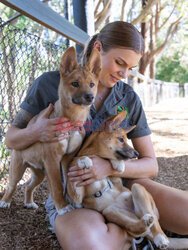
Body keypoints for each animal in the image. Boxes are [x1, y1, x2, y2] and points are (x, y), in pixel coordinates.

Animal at [0, 47, 101, 215]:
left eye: (92, 84)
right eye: (75, 83)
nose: (90, 97)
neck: (72, 121)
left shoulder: (67, 157)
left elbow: (69, 180)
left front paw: (73, 199)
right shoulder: (53, 160)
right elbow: (57, 186)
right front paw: (62, 207)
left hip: (39, 173)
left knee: (28, 185)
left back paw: (29, 203)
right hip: (17, 168)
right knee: (11, 185)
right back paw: (5, 202)